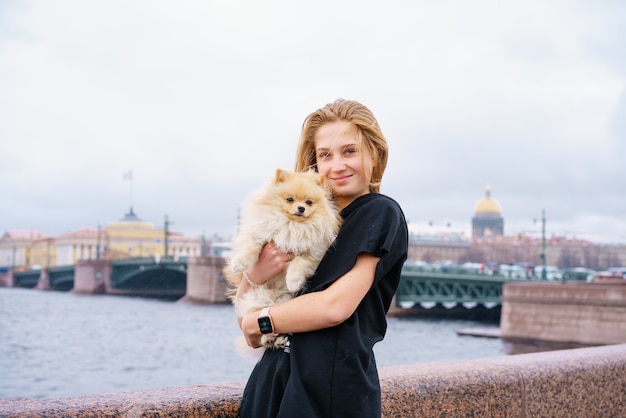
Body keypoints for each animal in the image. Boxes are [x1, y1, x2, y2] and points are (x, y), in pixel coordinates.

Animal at [225, 168, 342, 352]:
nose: (301, 208)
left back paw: (277, 340)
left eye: (309, 202)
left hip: (284, 300)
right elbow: (251, 246)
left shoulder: (314, 253)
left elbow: (299, 263)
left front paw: (293, 281)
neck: (292, 225)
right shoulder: (260, 233)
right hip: (257, 298)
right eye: (290, 199)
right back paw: (269, 339)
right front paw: (239, 263)